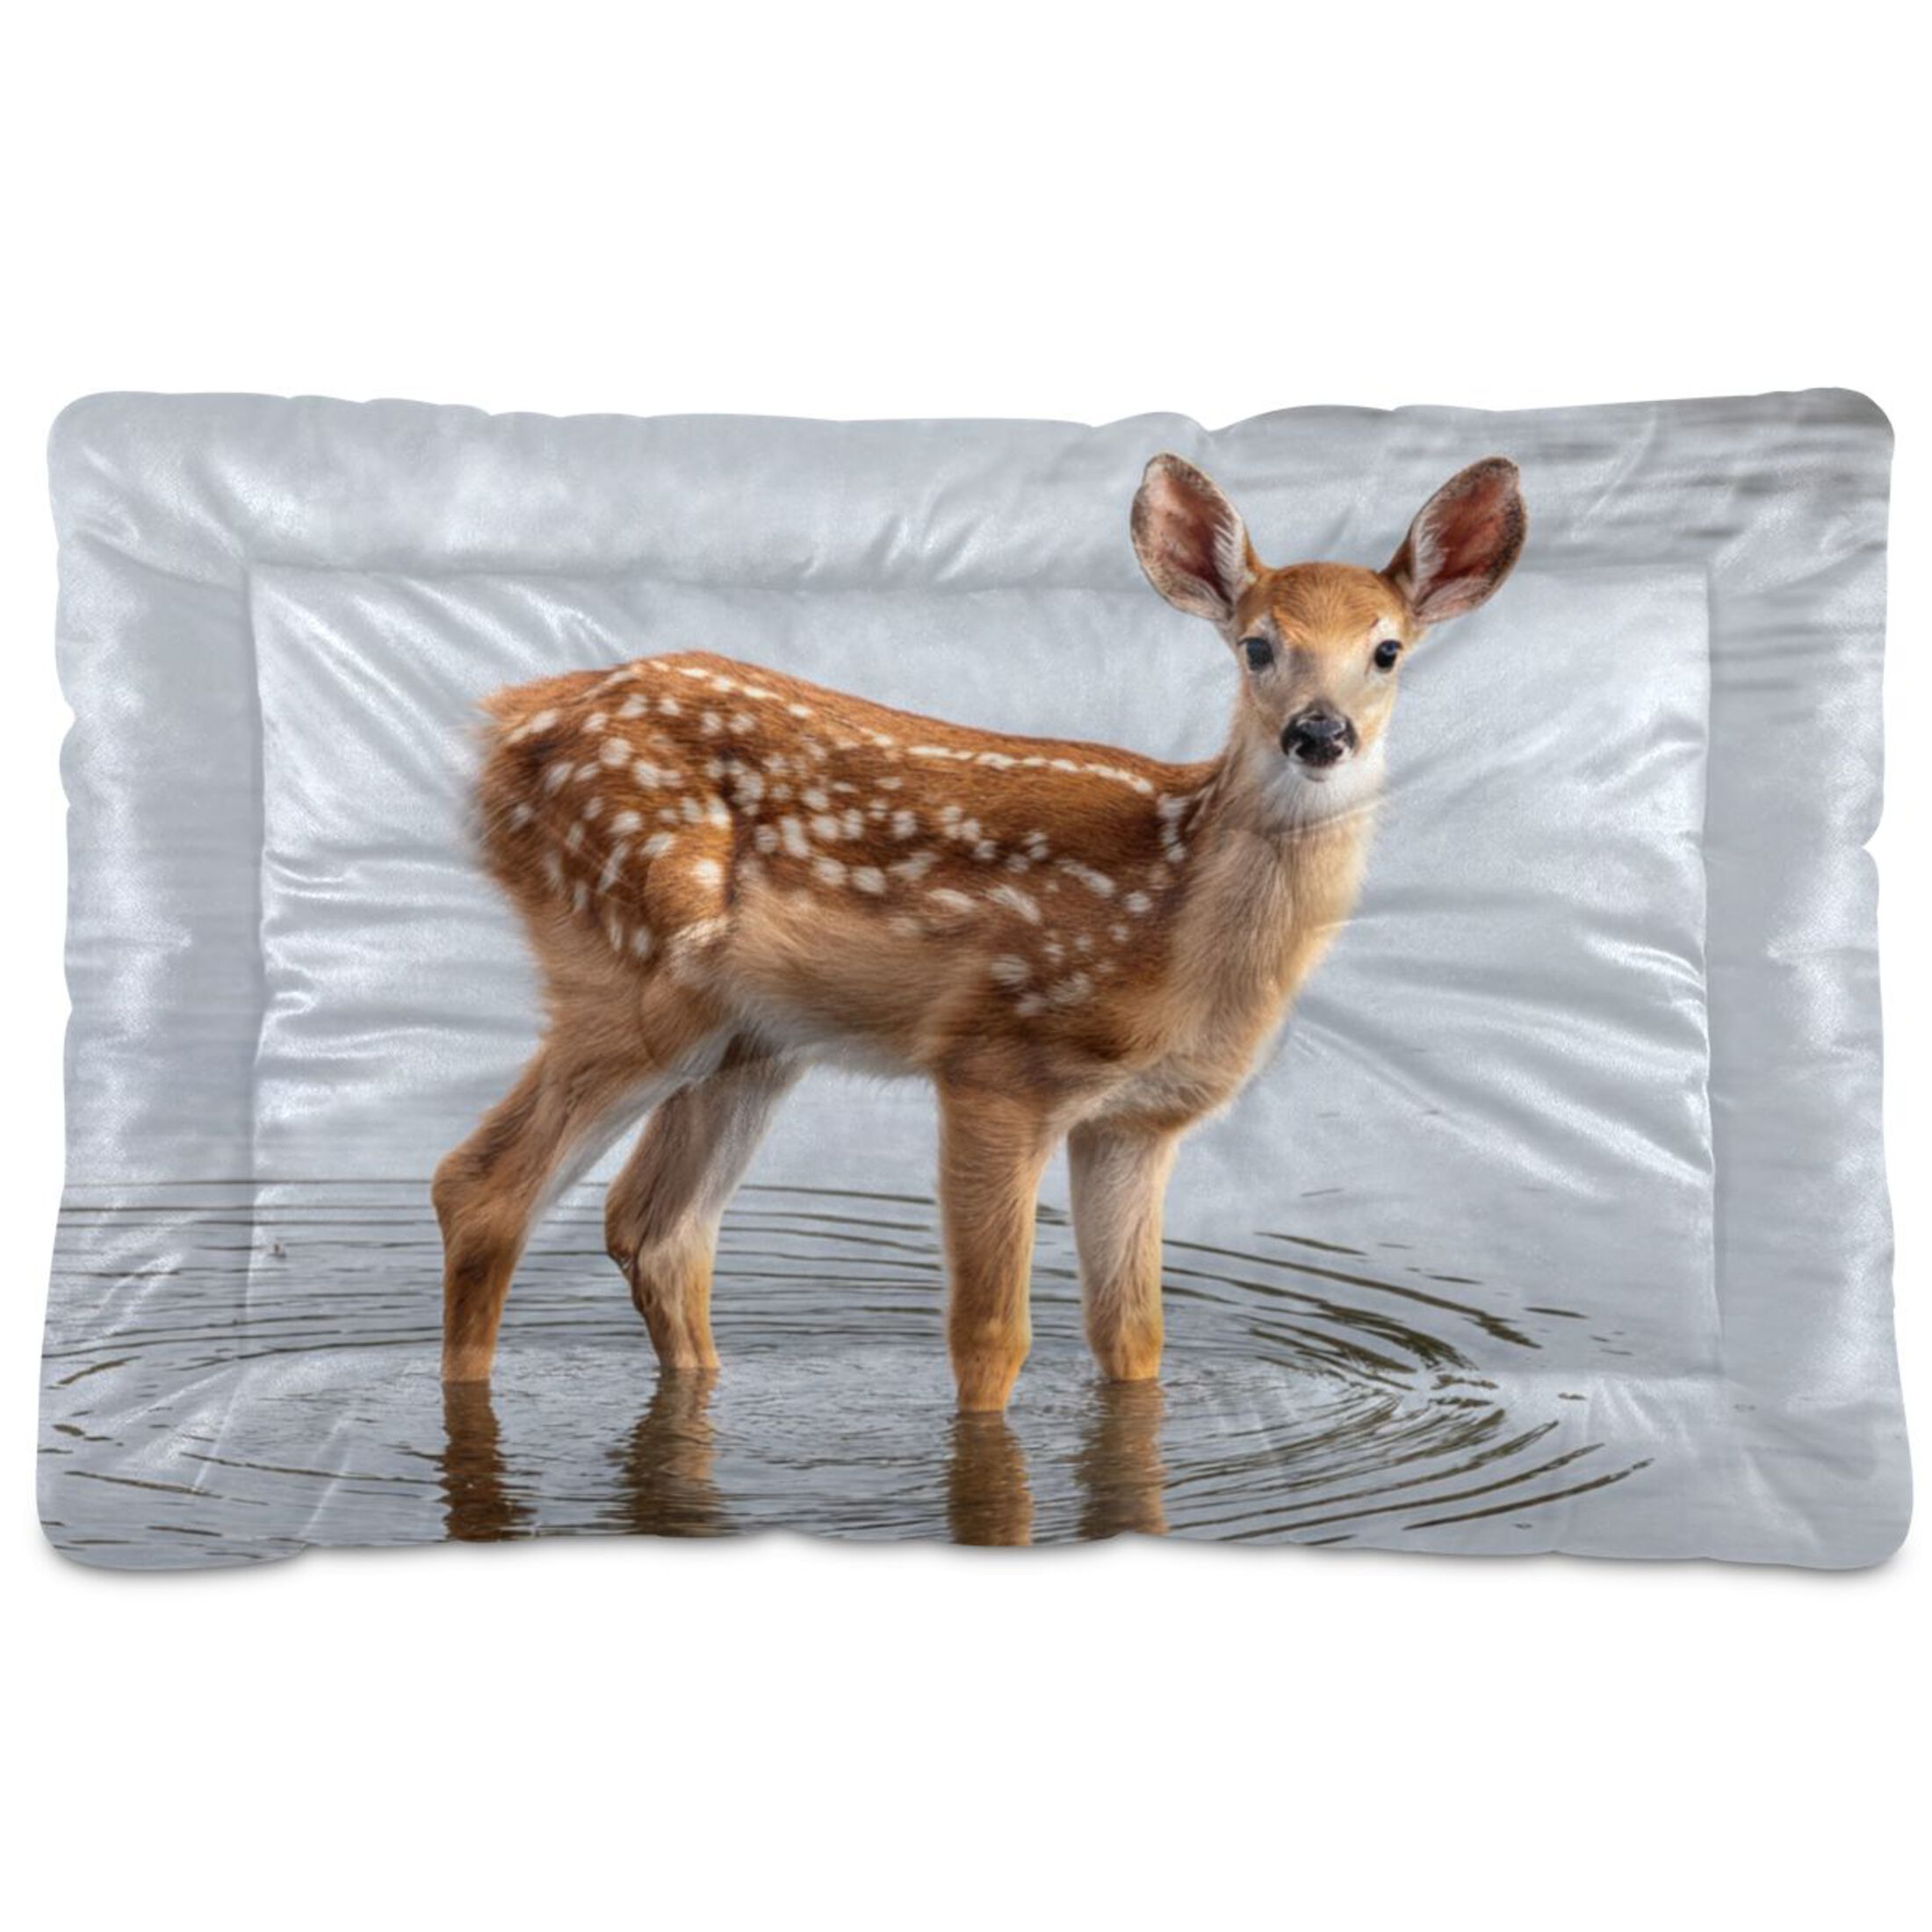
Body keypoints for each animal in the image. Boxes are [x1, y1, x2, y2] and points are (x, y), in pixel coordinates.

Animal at [434, 453, 1527, 1409]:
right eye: (1257, 644)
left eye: (1386, 650)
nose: (1317, 732)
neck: (1174, 926)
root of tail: (505, 727)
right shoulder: (996, 1058)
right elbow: (991, 1338)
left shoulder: (1136, 1121)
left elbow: (1132, 1335)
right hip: (632, 968)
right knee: (480, 1189)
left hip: (753, 1039)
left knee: (657, 1227)